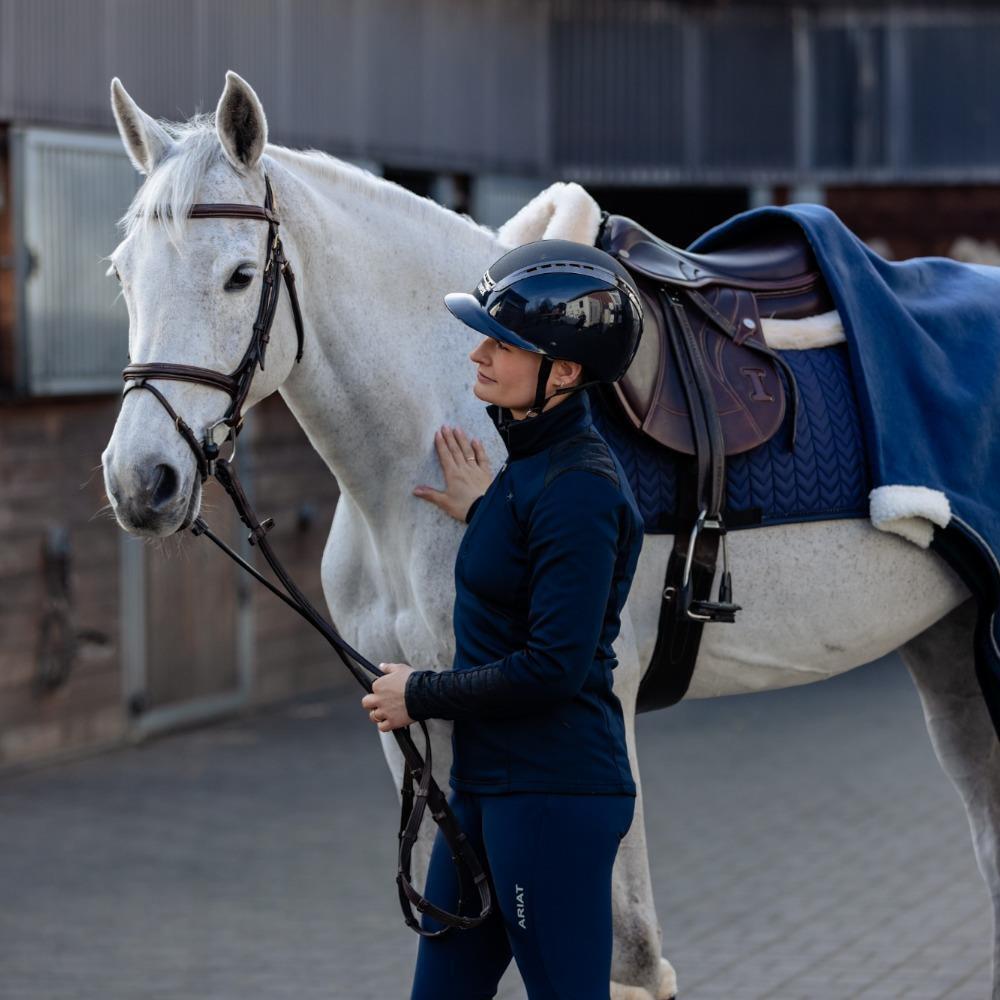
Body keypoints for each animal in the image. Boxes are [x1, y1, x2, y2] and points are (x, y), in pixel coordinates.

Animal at [97, 72, 996, 1000]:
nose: (142, 480)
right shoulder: (418, 726)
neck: (435, 429)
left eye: (241, 276)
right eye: (122, 274)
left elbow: (626, 957)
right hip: (951, 645)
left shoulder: (597, 713)